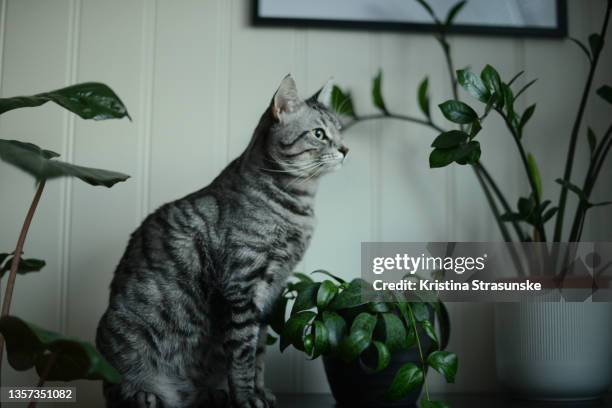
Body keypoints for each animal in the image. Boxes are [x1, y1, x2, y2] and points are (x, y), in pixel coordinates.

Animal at [94, 76, 346, 408]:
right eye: (319, 134)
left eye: (340, 130)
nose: (345, 149)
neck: (299, 206)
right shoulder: (241, 286)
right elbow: (242, 355)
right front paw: (247, 397)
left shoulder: (271, 293)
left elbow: (259, 354)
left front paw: (260, 392)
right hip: (120, 340)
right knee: (117, 389)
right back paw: (145, 395)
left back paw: (211, 394)